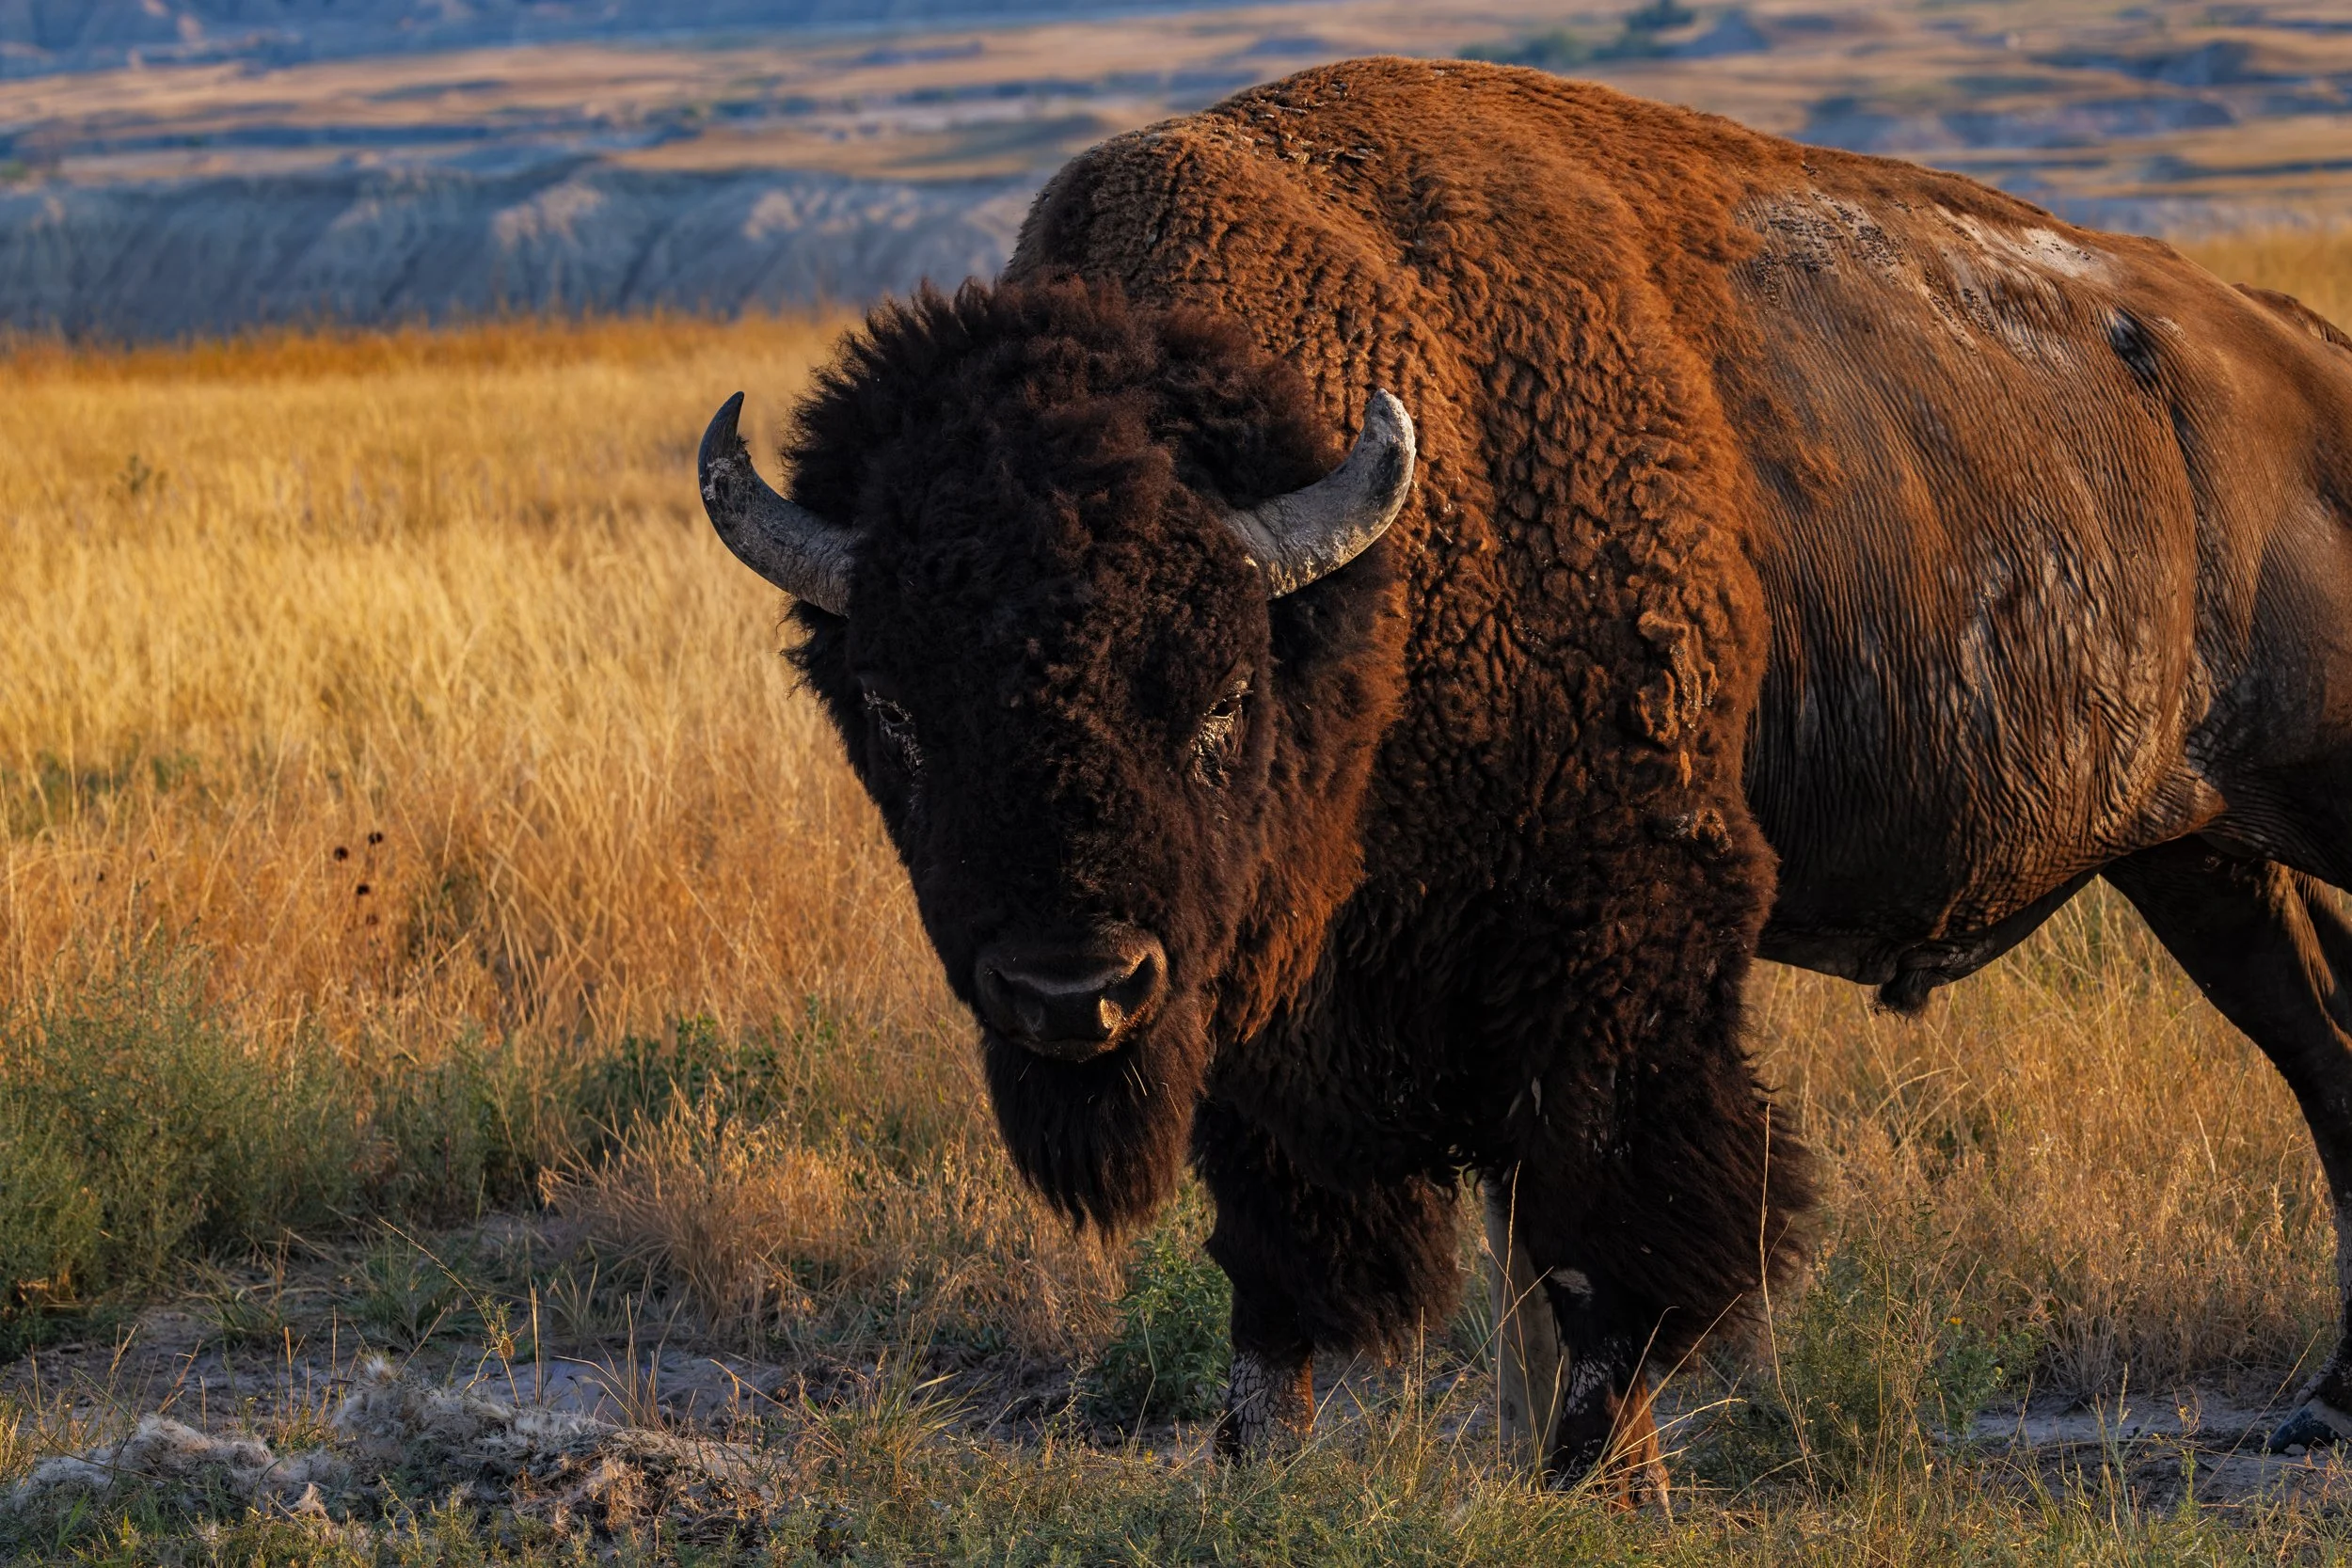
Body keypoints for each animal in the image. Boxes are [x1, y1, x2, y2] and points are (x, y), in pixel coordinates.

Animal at [696, 59, 2352, 1494]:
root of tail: (2305, 349)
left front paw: (1595, 1471)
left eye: (1223, 695)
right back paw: (2324, 1406)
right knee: (2325, 1047)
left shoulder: (1607, 938)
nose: (1071, 990)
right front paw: (1256, 1460)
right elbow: (1294, 1243)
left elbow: (1604, 1218)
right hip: (2198, 857)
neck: (1380, 571)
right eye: (894, 709)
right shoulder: (1277, 991)